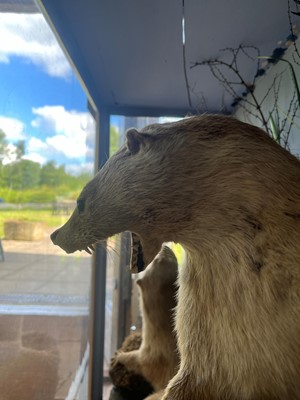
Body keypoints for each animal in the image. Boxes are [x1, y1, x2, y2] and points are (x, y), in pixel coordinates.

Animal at [109, 245, 178, 398]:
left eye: (157, 260)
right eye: (175, 257)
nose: (165, 246)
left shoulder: (153, 350)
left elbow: (138, 360)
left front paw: (119, 356)